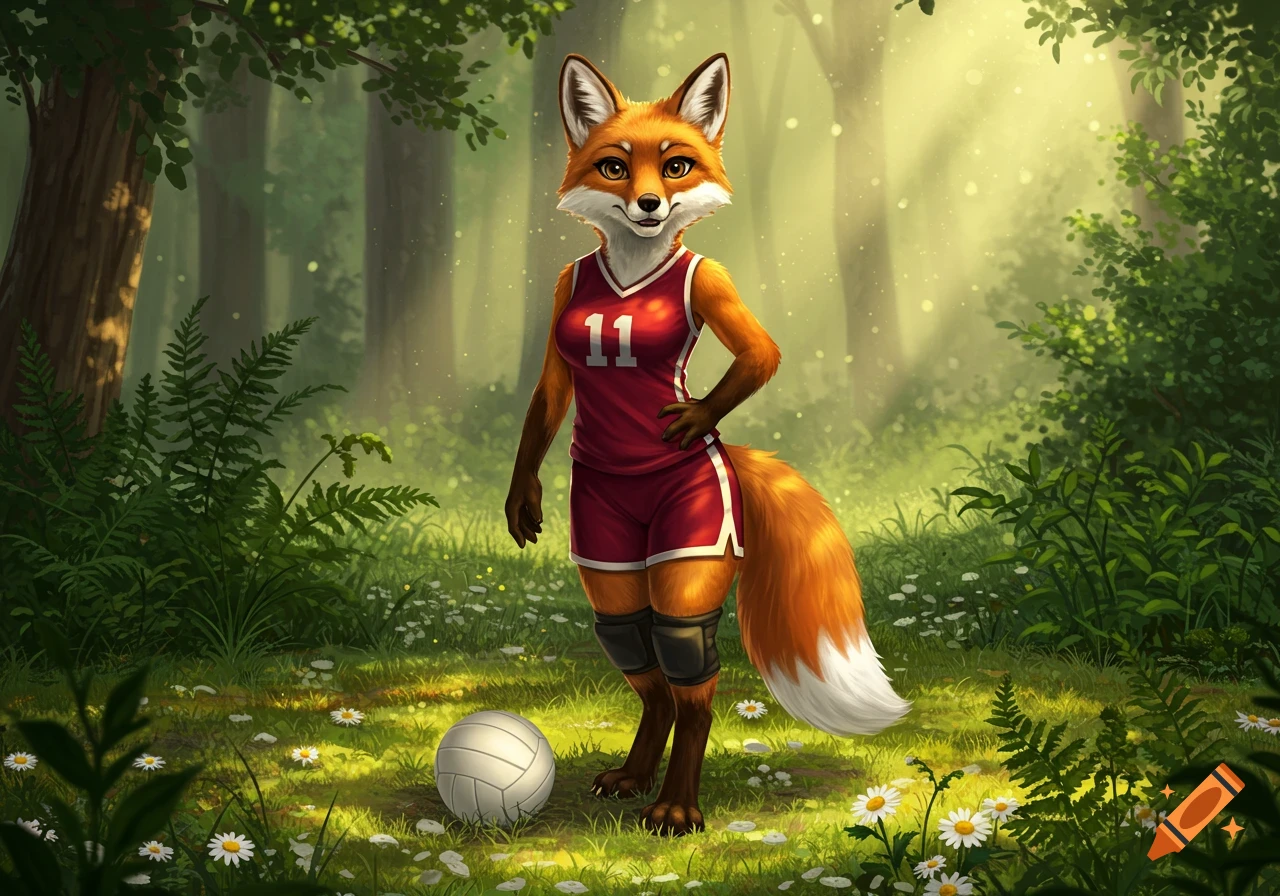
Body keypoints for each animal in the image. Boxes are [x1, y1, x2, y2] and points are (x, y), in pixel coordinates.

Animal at [505, 52, 910, 836]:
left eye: (676, 165)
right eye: (613, 167)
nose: (648, 206)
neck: (634, 262)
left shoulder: (717, 285)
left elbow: (761, 354)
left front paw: (688, 419)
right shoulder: (563, 298)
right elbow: (548, 393)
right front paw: (520, 500)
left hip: (688, 554)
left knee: (684, 663)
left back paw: (674, 803)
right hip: (611, 564)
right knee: (639, 651)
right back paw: (635, 775)